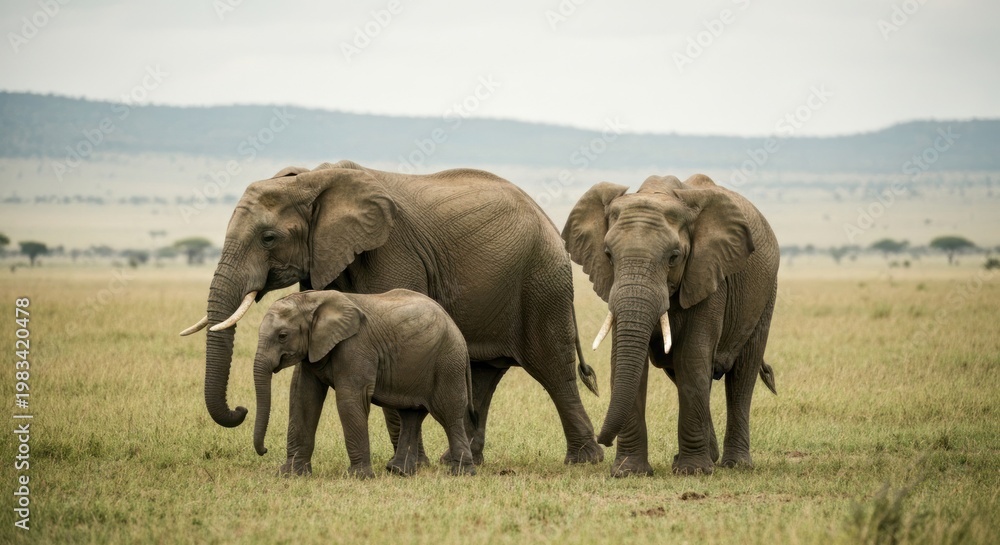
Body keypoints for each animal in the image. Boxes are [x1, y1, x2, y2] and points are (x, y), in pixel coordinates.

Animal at [252, 289, 477, 478]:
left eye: (282, 336)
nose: (264, 450)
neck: (313, 299)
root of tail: (457, 330)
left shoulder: (355, 346)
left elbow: (349, 400)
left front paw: (359, 477)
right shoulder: (312, 350)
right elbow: (303, 398)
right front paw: (290, 474)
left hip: (447, 363)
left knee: (448, 414)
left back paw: (462, 473)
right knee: (410, 415)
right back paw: (398, 471)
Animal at [562, 173, 778, 477]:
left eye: (674, 257)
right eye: (608, 254)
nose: (602, 440)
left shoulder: (708, 275)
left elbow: (693, 356)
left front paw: (693, 472)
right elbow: (627, 361)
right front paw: (629, 472)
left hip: (765, 294)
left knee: (741, 375)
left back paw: (735, 464)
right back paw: (707, 457)